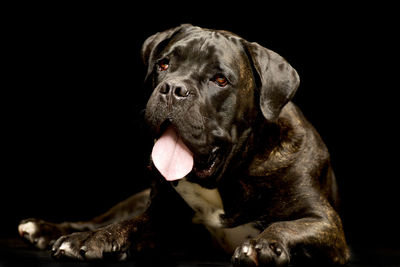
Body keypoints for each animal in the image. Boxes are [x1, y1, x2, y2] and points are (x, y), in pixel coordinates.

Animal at [18, 24, 350, 266]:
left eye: (220, 80)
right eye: (164, 64)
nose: (173, 89)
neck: (229, 178)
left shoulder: (324, 222)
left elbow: (286, 226)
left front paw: (262, 244)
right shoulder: (162, 217)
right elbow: (127, 225)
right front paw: (90, 239)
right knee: (95, 219)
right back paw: (47, 230)